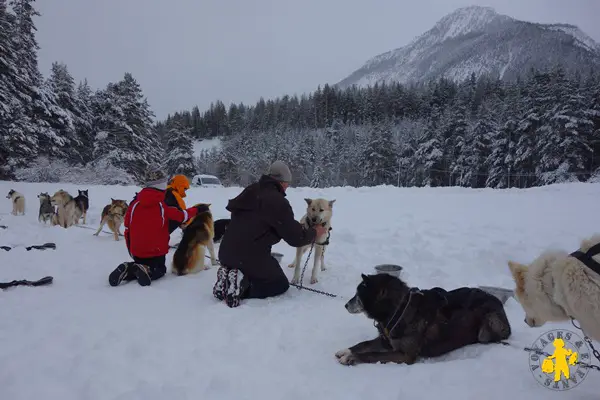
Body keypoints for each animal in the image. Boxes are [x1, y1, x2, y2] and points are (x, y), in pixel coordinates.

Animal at [332, 272, 510, 366]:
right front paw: (347, 350)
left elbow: (372, 354)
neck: (399, 309)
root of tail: (497, 300)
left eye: (358, 295)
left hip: (488, 325)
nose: (345, 305)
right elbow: (364, 344)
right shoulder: (386, 341)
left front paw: (351, 357)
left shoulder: (405, 356)